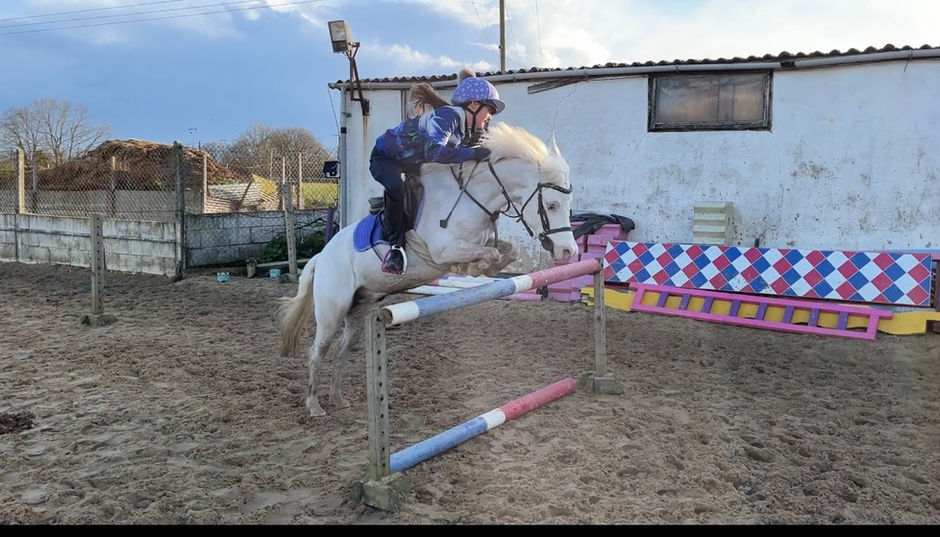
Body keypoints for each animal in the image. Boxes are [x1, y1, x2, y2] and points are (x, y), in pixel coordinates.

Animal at [276, 122, 579, 417]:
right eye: (551, 205)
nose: (569, 252)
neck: (472, 197)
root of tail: (321, 256)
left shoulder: (477, 242)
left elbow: (509, 250)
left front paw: (486, 267)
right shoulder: (444, 250)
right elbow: (489, 253)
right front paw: (479, 266)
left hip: (358, 310)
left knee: (342, 353)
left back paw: (338, 399)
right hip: (332, 311)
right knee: (317, 353)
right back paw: (314, 406)